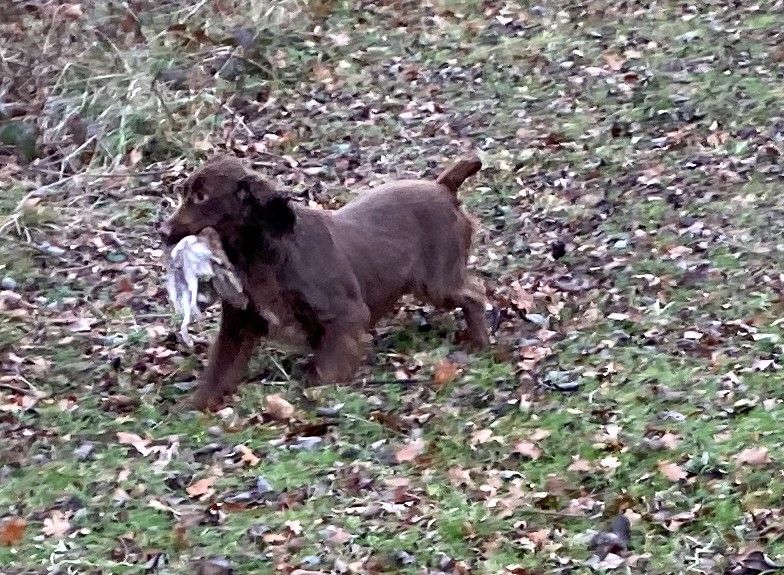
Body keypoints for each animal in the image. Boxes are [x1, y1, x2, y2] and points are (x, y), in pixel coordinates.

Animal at [159, 154, 489, 409]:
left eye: (202, 197)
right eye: (184, 193)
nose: (162, 231)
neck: (262, 254)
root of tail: (443, 187)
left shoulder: (345, 315)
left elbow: (326, 369)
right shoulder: (238, 323)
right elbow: (218, 370)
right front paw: (197, 406)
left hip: (437, 282)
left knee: (475, 292)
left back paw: (480, 342)